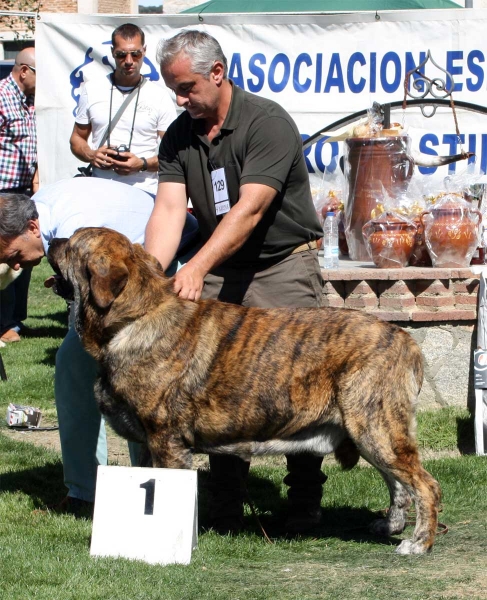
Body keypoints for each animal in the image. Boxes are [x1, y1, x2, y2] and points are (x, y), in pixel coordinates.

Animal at [48, 227, 442, 556]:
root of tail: (405, 339)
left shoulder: (165, 440)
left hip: (376, 428)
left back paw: (418, 543)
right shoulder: (149, 442)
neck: (136, 317)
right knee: (398, 483)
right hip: (373, 433)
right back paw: (390, 525)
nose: (52, 239)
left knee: (424, 485)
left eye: (72, 245)